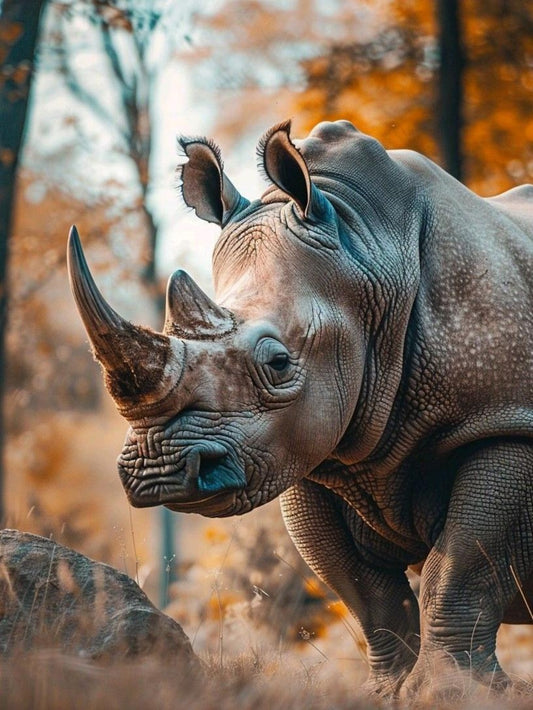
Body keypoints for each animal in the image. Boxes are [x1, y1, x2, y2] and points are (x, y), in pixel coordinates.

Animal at [67, 120, 533, 697]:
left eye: (279, 362)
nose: (160, 473)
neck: (368, 249)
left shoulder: (502, 420)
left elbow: (461, 567)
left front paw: (450, 694)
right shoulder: (306, 448)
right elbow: (363, 591)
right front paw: (388, 693)